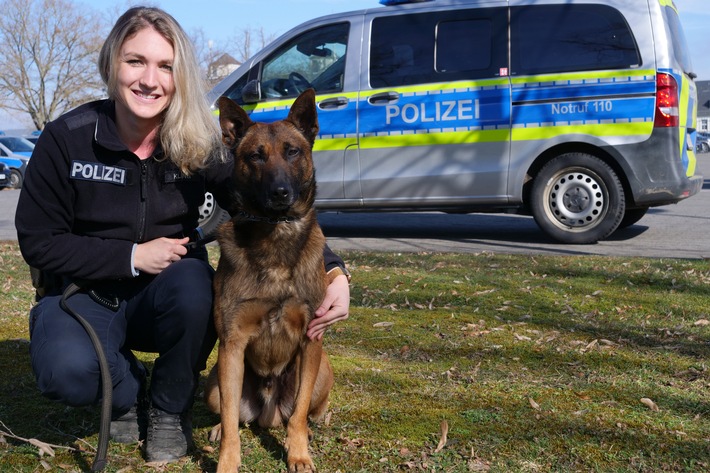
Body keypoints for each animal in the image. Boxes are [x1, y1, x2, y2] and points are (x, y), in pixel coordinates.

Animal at [206, 89, 336, 472]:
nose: (280, 193)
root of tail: (267, 413)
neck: (275, 233)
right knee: (231, 414)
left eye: (293, 151)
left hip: (323, 369)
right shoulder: (232, 345)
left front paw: (298, 453)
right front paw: (227, 462)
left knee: (305, 412)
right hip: (215, 382)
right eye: (255, 156)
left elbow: (299, 415)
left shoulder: (311, 340)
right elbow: (231, 418)